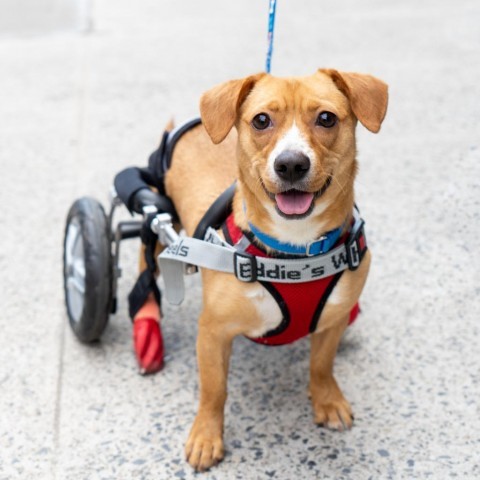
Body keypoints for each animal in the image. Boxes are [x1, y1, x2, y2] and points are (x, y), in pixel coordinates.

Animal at [141, 69, 388, 470]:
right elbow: (214, 390)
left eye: (326, 118)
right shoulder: (212, 333)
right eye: (261, 120)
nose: (291, 164)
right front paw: (206, 436)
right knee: (143, 259)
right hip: (158, 215)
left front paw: (327, 400)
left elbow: (322, 365)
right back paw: (145, 321)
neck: (294, 251)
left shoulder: (330, 323)